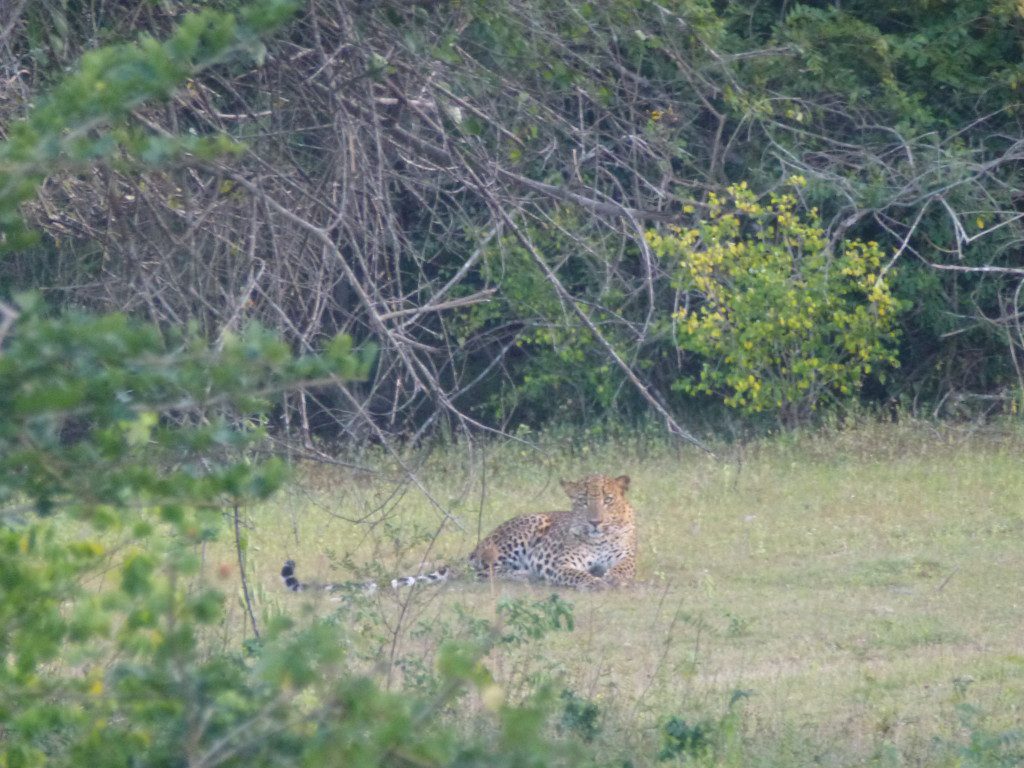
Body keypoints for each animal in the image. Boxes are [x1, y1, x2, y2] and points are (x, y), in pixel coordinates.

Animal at [280, 473, 630, 593]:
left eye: (608, 499)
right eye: (583, 502)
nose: (595, 522)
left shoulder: (627, 557)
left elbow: (622, 569)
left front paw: (612, 579)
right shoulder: (559, 563)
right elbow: (577, 574)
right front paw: (595, 583)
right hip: (524, 531)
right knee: (484, 572)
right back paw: (523, 576)